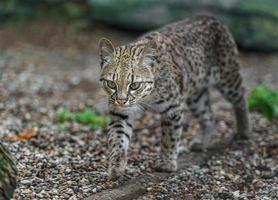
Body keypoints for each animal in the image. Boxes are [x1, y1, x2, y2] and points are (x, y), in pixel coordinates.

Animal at [97, 15, 250, 180]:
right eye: (111, 84)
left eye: (134, 85)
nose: (121, 100)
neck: (146, 97)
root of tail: (210, 17)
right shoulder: (120, 112)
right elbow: (117, 138)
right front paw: (116, 166)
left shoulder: (173, 108)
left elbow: (169, 136)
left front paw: (166, 163)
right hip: (196, 95)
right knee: (208, 115)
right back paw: (201, 142)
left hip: (227, 78)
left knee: (241, 97)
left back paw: (244, 130)